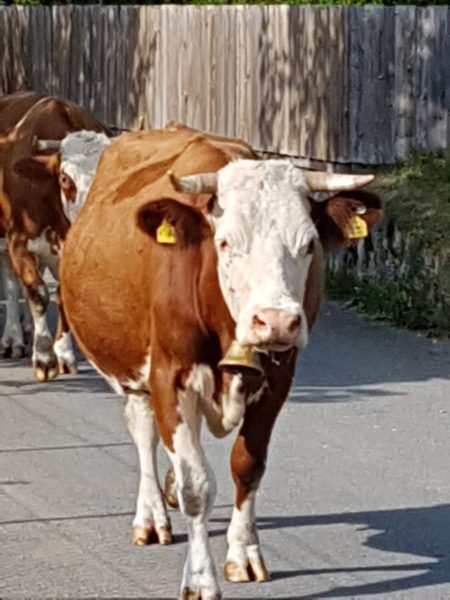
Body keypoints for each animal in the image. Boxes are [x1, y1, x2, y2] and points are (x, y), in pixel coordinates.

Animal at [0, 91, 111, 380]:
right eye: (64, 179)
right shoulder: (19, 242)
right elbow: (37, 293)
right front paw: (44, 357)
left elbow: (61, 296)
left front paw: (63, 354)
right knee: (12, 282)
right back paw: (14, 338)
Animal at [60, 124, 381, 600]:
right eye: (226, 242)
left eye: (308, 244)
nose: (276, 321)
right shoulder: (168, 377)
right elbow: (197, 484)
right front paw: (200, 578)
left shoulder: (280, 377)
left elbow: (247, 466)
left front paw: (243, 553)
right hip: (134, 370)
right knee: (143, 432)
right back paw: (151, 514)